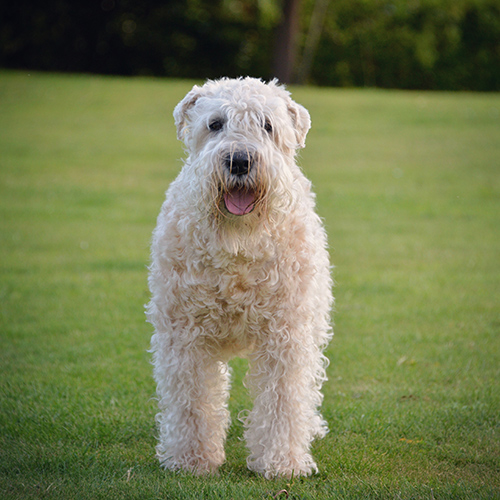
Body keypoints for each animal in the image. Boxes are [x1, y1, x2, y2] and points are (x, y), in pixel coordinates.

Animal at [145, 76, 332, 478]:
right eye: (215, 123)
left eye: (267, 125)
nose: (240, 160)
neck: (238, 241)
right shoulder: (184, 334)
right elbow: (191, 399)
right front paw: (191, 459)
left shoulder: (286, 334)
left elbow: (283, 397)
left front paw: (282, 463)